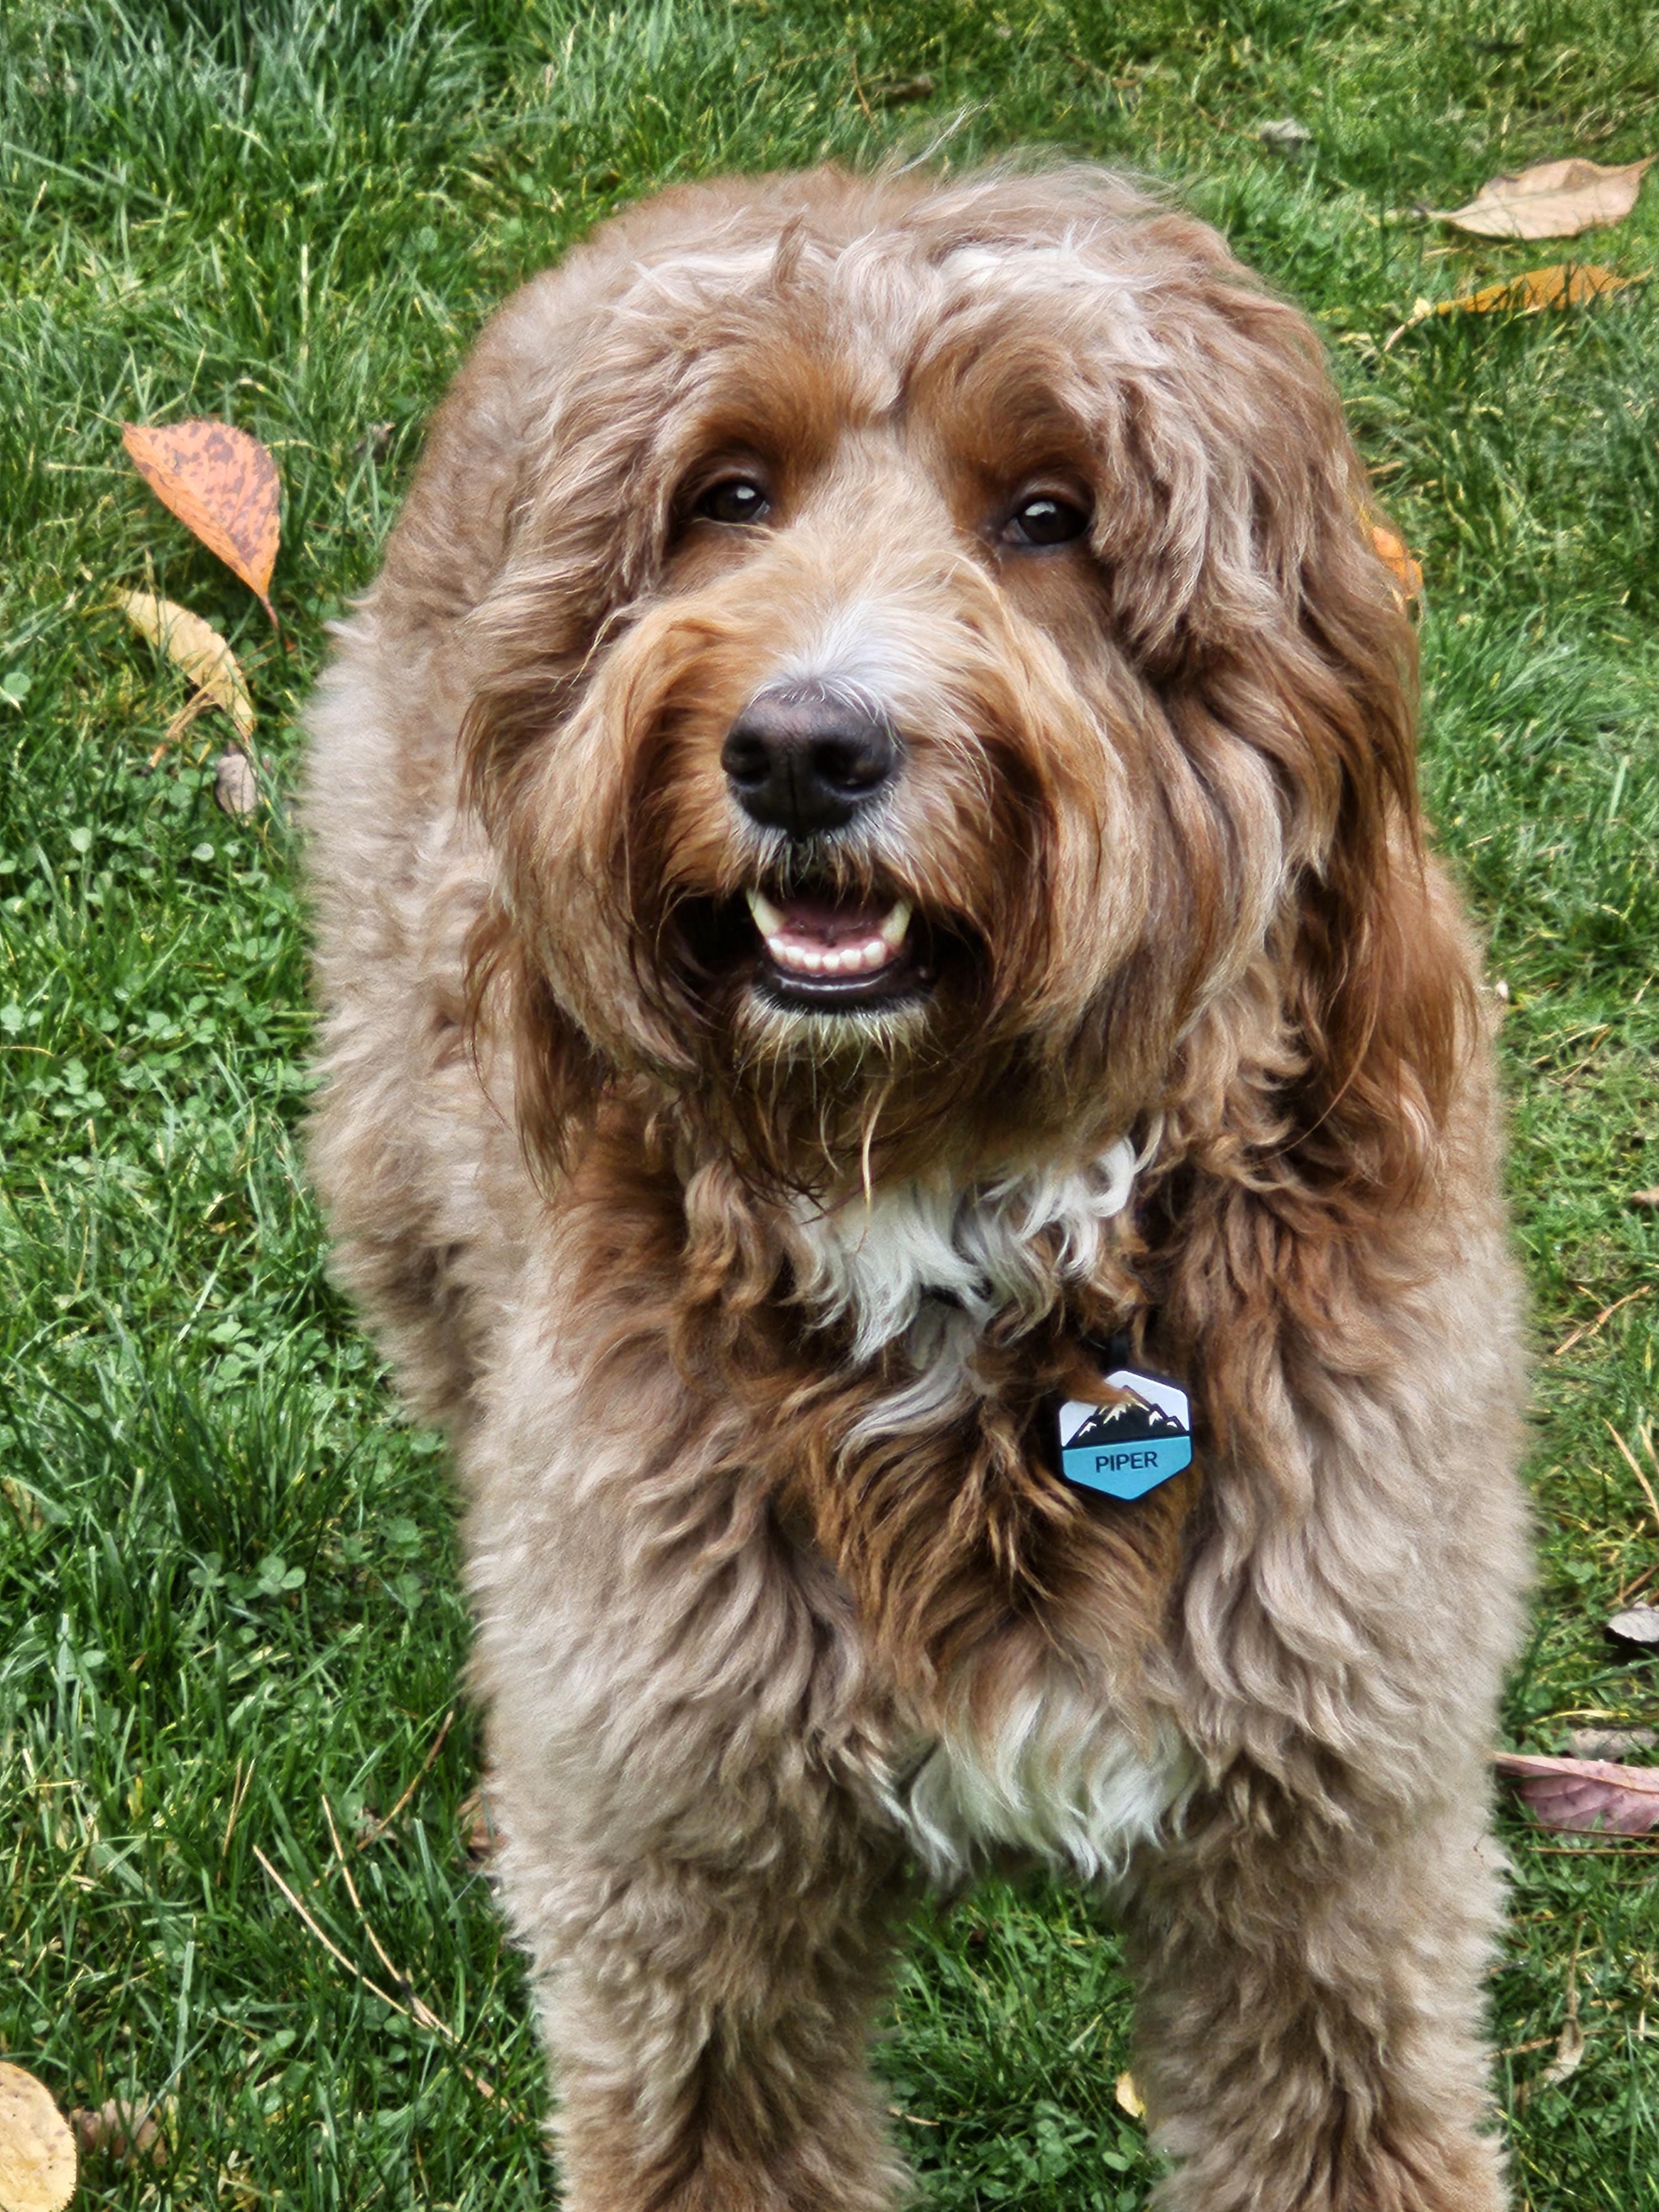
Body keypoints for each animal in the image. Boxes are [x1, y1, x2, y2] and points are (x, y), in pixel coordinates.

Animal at [304, 162, 1529, 2212]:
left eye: (1051, 517)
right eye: (728, 496)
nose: (803, 746)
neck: (959, 1220)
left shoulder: (1328, 1850)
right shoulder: (691, 1874)